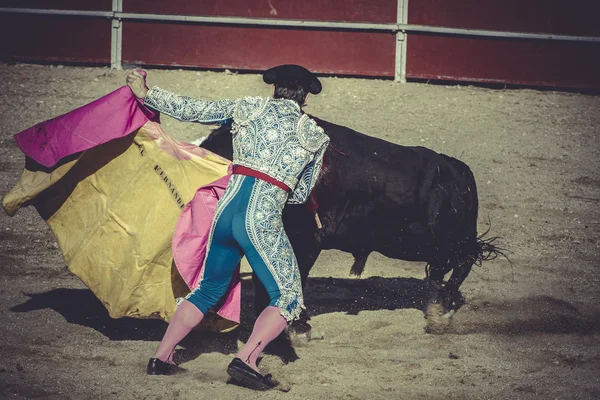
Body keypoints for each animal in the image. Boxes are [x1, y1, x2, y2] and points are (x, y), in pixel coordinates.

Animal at [199, 116, 500, 334]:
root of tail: (459, 171)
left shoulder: (307, 241)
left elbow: (294, 278)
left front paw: (297, 326)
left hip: (453, 241)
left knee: (460, 266)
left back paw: (439, 316)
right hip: (439, 245)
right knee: (443, 271)